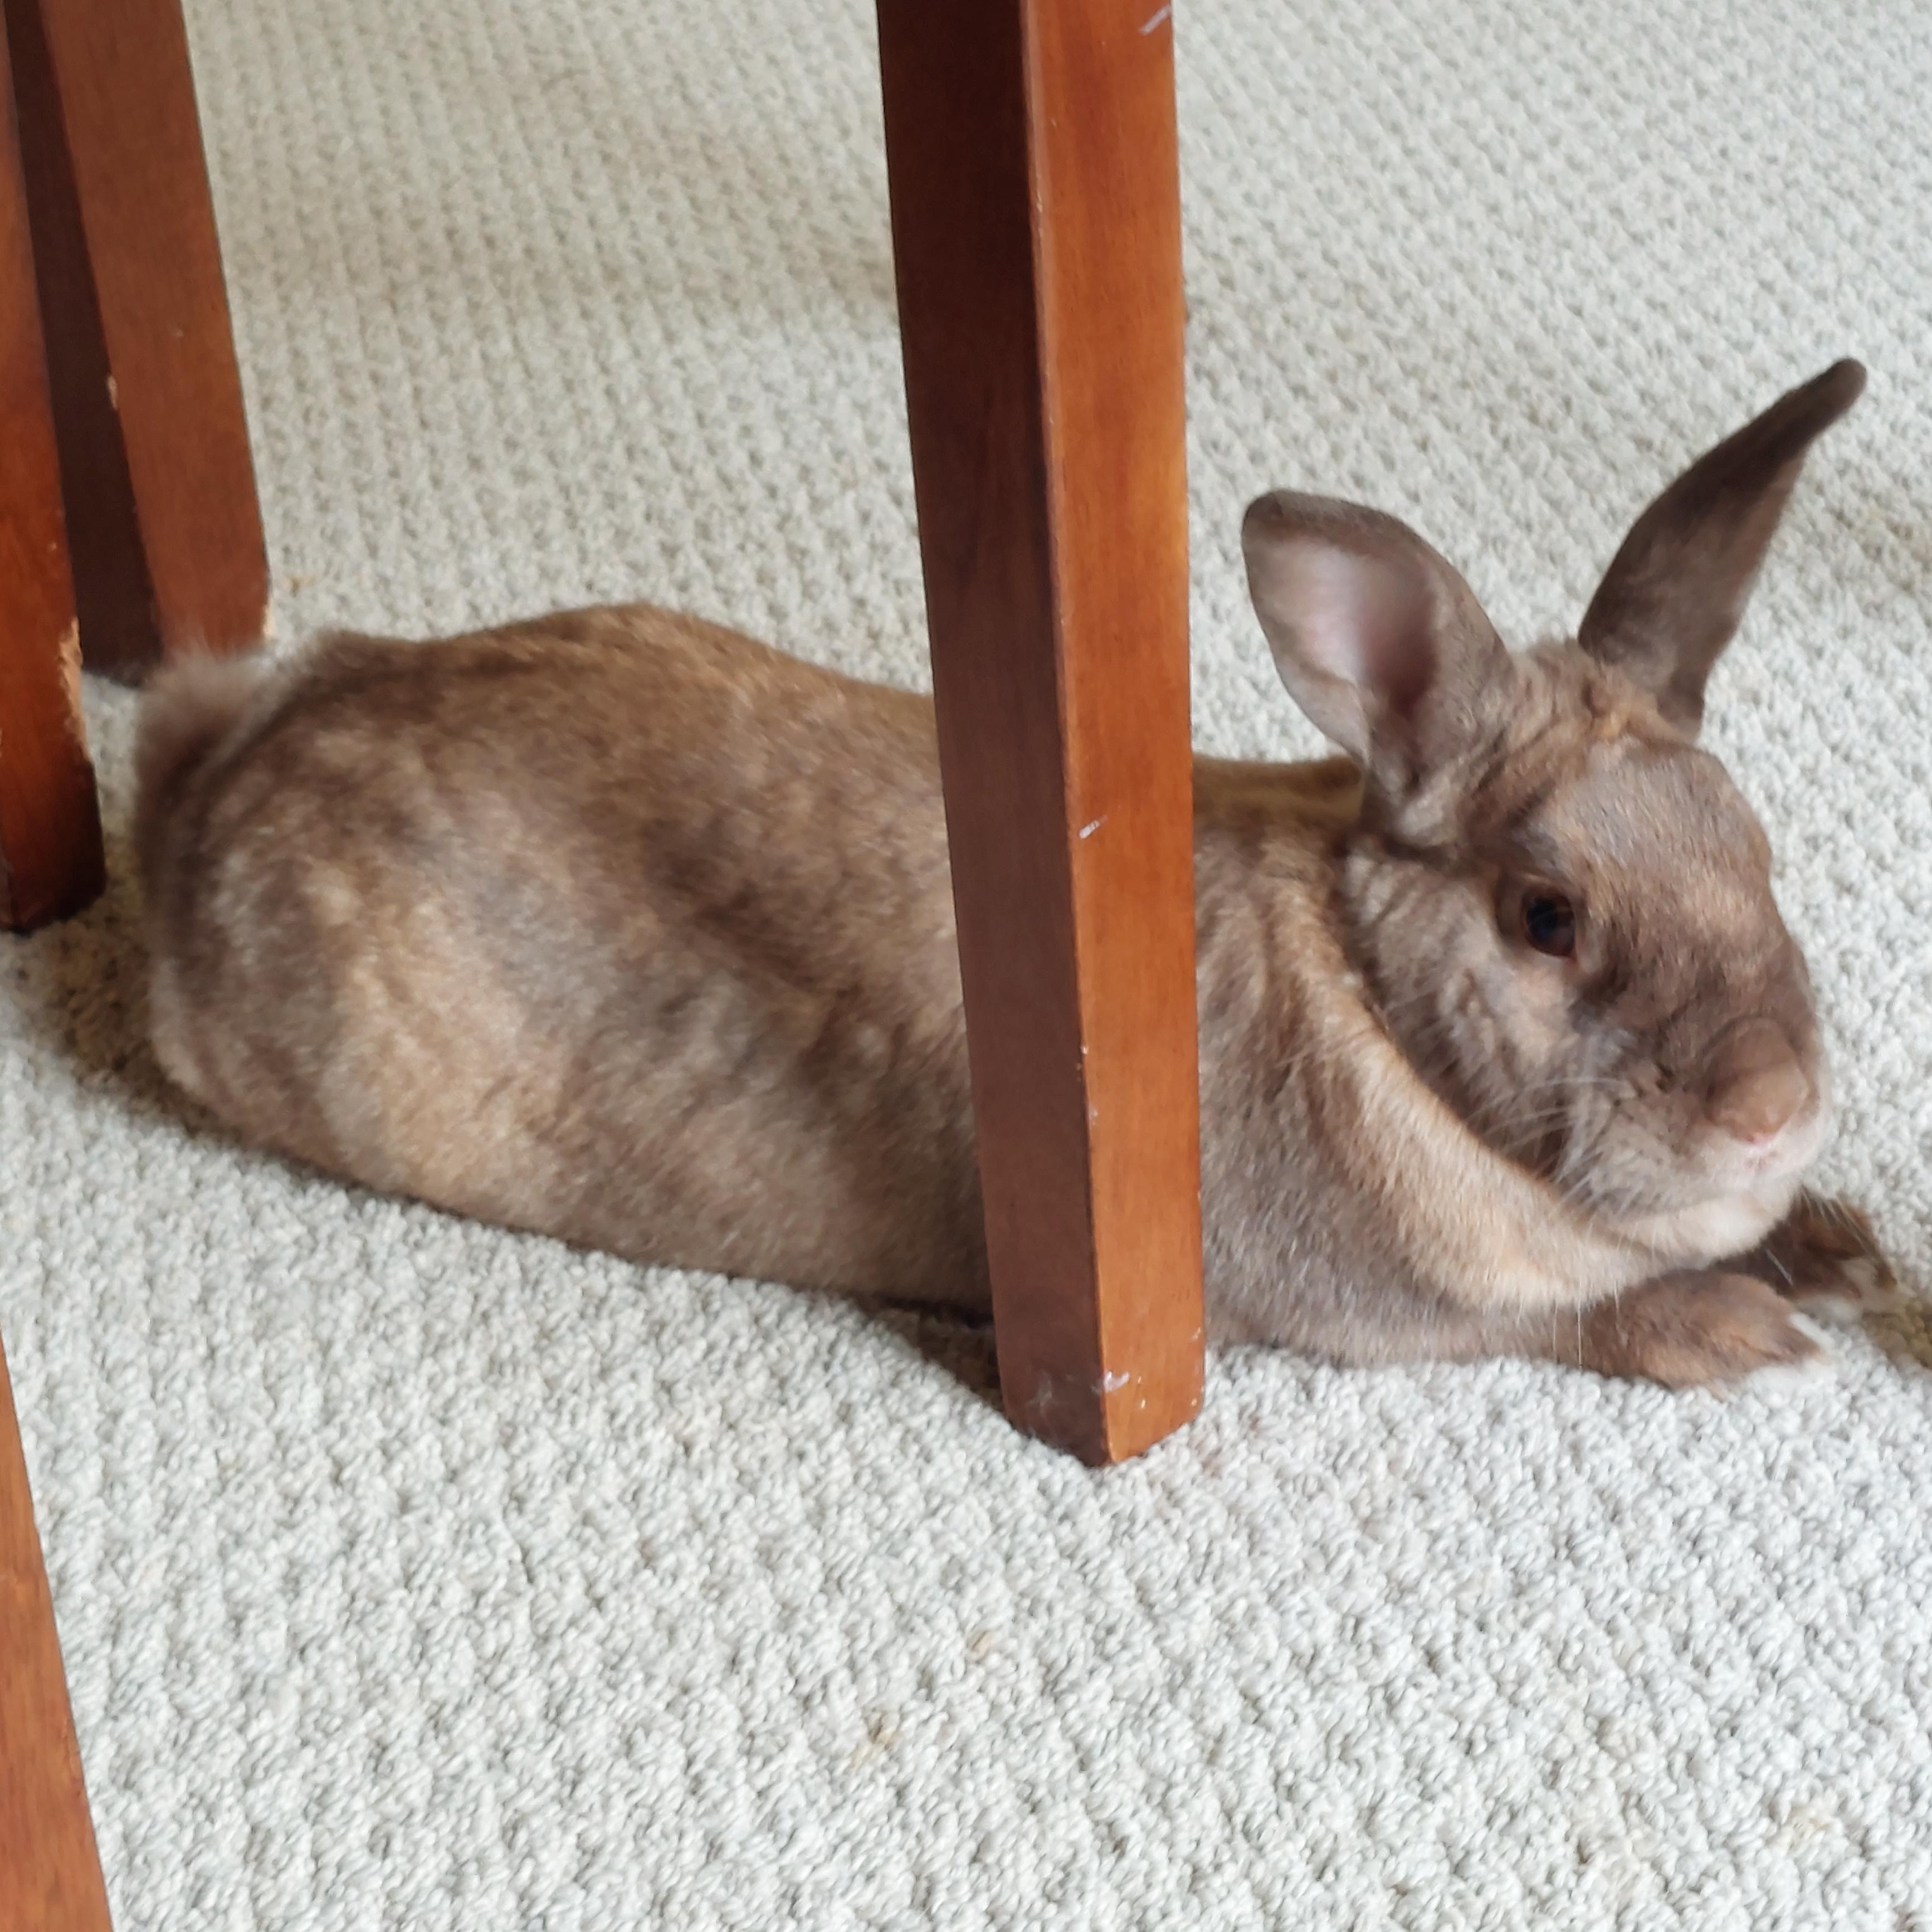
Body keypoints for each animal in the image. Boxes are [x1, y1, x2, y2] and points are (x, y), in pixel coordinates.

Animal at [134, 359, 1892, 1388]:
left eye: (1754, 846)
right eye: (1545, 917)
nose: (1769, 1107)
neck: (1381, 1010)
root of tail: (222, 778)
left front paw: (1843, 1248)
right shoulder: (1369, 1299)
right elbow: (1568, 1316)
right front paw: (1752, 1333)